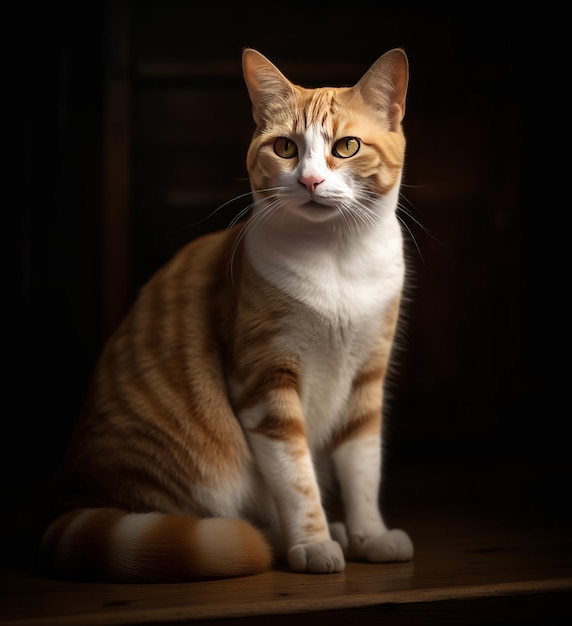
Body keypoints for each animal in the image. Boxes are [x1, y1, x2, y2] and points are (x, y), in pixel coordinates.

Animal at [41, 45, 416, 580]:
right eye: (285, 148)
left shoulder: (366, 376)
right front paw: (313, 542)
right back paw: (282, 538)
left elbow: (362, 466)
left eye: (346, 147)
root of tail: (70, 496)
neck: (336, 260)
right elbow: (296, 476)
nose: (310, 179)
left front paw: (370, 535)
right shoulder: (265, 382)